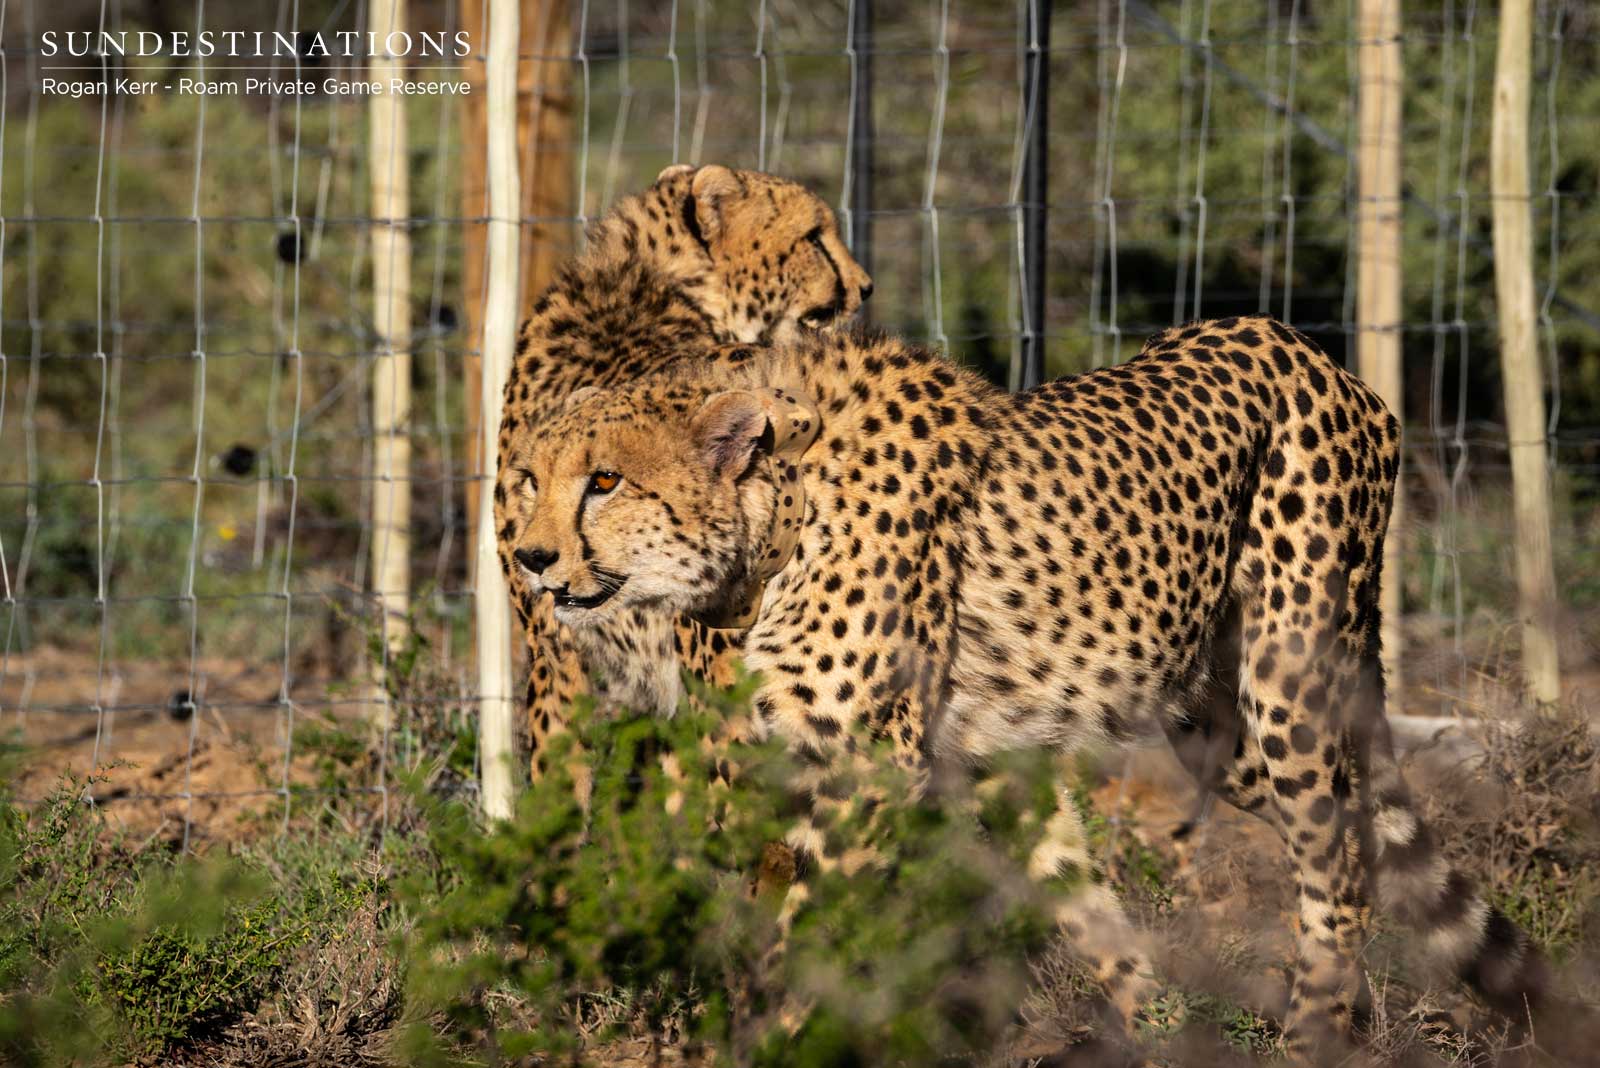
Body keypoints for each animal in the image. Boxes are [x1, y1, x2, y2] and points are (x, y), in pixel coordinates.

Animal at [504, 314, 1549, 1058]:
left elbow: (795, 947)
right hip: (1214, 721)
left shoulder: (871, 772)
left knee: (1337, 865)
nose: (531, 558)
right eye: (531, 479)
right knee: (1337, 833)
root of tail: (1306, 348)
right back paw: (1178, 1032)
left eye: (604, 480)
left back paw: (1312, 1034)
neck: (778, 517)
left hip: (1290, 677)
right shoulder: (901, 761)